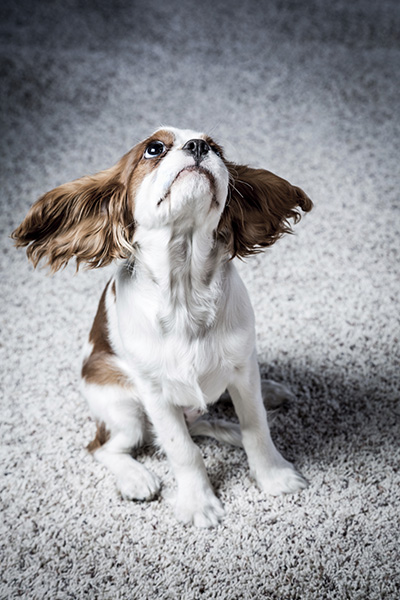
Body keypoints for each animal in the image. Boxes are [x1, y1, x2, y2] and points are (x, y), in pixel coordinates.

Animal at [12, 126, 312, 524]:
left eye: (217, 149)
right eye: (154, 149)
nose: (198, 147)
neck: (185, 288)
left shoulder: (242, 368)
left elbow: (256, 426)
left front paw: (272, 476)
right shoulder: (154, 392)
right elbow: (182, 449)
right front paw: (199, 503)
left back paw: (262, 399)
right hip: (123, 409)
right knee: (104, 446)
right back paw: (135, 478)